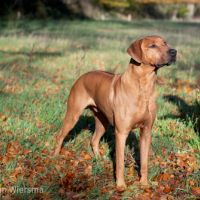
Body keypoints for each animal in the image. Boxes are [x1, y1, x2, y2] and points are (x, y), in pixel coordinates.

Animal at [52, 35, 177, 189]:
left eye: (165, 43)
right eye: (152, 46)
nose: (174, 52)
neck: (144, 86)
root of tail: (82, 76)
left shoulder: (146, 131)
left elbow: (144, 161)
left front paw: (144, 183)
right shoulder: (121, 133)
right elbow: (120, 163)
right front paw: (121, 186)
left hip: (102, 121)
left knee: (94, 140)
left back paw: (99, 159)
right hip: (73, 114)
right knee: (60, 136)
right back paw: (55, 157)